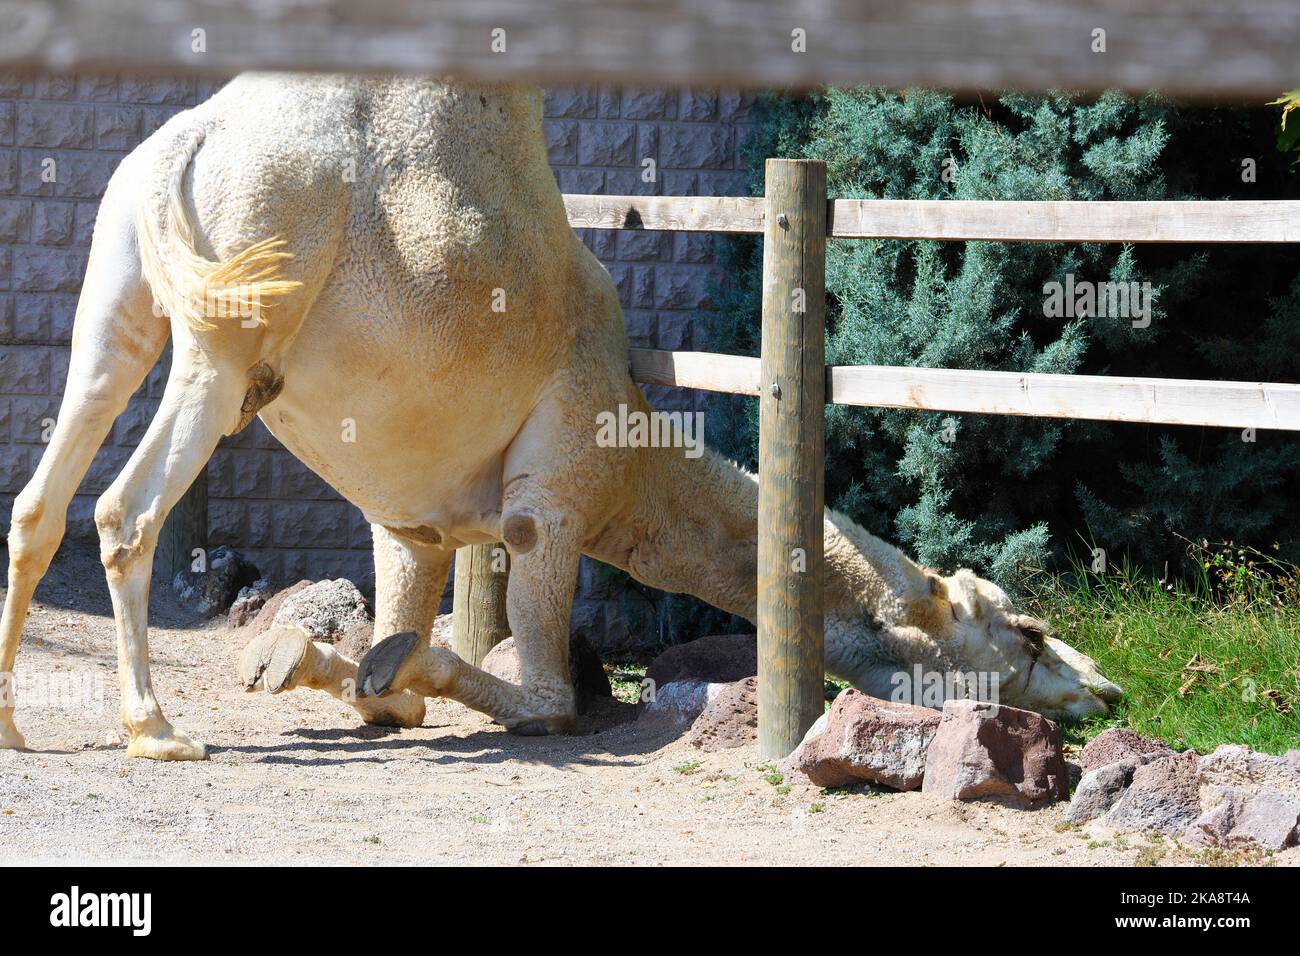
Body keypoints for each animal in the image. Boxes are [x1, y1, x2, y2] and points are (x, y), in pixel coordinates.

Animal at [0, 74, 1122, 760]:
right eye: (1022, 629)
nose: (1106, 690)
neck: (637, 460)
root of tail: (184, 142)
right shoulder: (555, 495)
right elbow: (536, 692)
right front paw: (394, 667)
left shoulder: (407, 523)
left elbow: (389, 658)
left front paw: (321, 665)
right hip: (231, 338)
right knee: (125, 513)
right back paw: (154, 729)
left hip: (121, 303)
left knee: (41, 497)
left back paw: (14, 725)